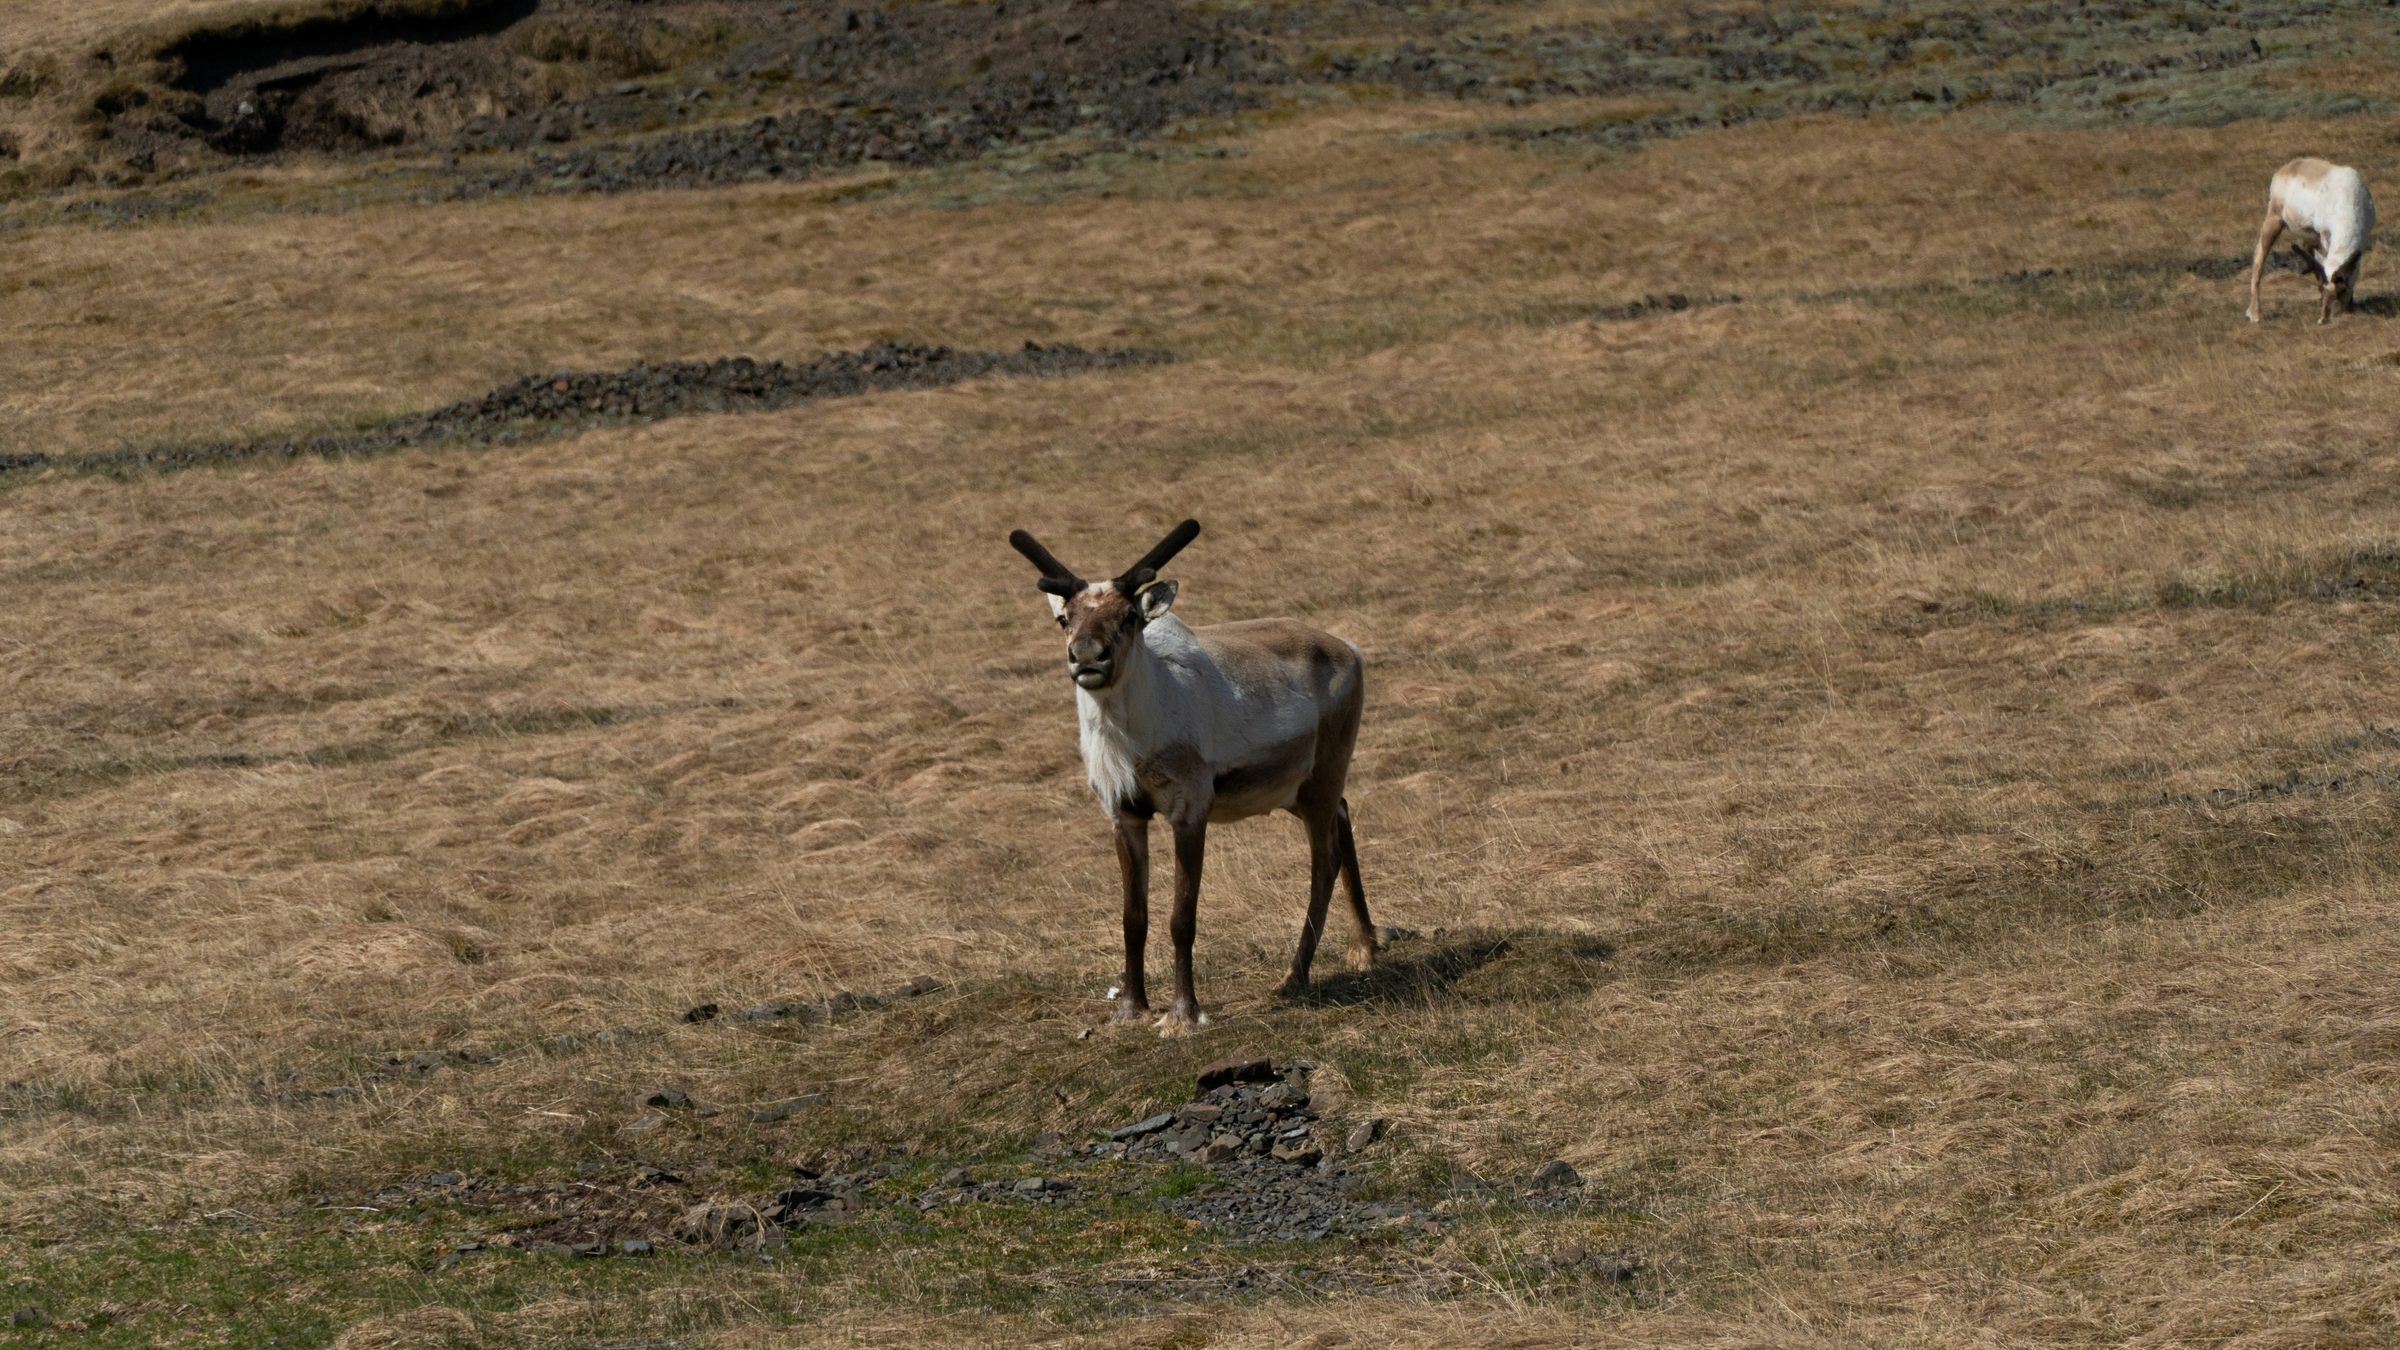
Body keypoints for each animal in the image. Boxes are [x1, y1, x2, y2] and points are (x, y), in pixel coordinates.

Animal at [1007, 518, 1378, 1036]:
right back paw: (1364, 947)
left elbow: (1182, 916)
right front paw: (1130, 1009)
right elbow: (1133, 917)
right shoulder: (1124, 812)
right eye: (1065, 619)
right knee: (1343, 816)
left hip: (1325, 771)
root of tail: (1352, 650)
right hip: (1297, 788)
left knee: (1323, 861)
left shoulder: (1189, 805)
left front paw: (1182, 1014)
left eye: (1129, 617)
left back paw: (1293, 977)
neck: (1134, 740)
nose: (1088, 657)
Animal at [2246, 157, 2376, 325]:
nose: (2323, 320)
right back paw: (2255, 315)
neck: (2347, 199)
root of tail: (2290, 166)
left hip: (2310, 240)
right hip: (2274, 221)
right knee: (2258, 257)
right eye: (2327, 289)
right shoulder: (2325, 237)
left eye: (2342, 289)